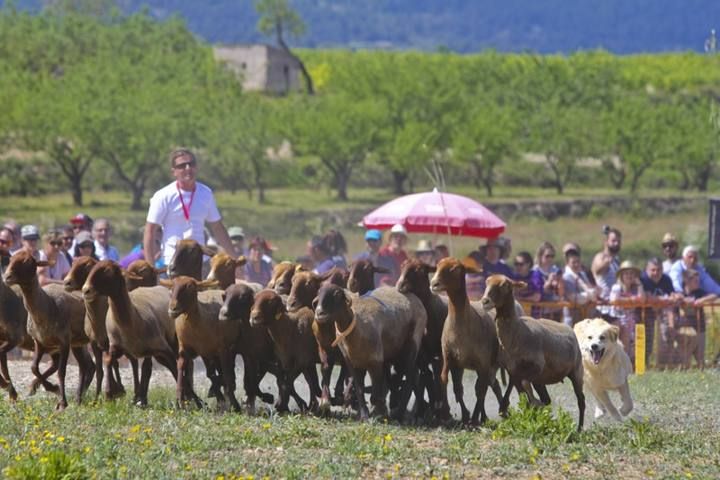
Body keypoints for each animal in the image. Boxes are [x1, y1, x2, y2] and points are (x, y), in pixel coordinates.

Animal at [3, 249, 95, 410]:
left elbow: (61, 372)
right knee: (85, 366)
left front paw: (62, 401)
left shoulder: (63, 342)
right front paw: (52, 389)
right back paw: (79, 398)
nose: (7, 277)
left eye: (28, 262)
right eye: (11, 259)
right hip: (77, 343)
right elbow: (34, 367)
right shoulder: (39, 342)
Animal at [80, 260, 177, 406]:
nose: (86, 290)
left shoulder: (164, 348)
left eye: (107, 270)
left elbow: (176, 369)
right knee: (146, 366)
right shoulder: (115, 346)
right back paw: (140, 399)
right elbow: (108, 361)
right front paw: (110, 392)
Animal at [169, 276, 242, 410]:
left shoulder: (223, 349)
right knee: (213, 373)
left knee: (227, 371)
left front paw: (235, 405)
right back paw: (219, 396)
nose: (172, 309)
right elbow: (181, 369)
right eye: (172, 286)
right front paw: (179, 402)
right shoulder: (186, 348)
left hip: (226, 349)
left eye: (190, 286)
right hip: (208, 352)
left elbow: (227, 375)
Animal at [312, 284, 424, 420]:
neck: (356, 328)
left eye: (337, 294)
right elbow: (359, 390)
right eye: (318, 293)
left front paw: (379, 411)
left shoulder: (376, 361)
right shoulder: (352, 363)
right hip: (395, 351)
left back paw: (400, 414)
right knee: (413, 374)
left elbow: (375, 394)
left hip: (412, 344)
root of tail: (415, 298)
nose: (319, 313)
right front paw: (364, 416)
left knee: (409, 378)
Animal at [478, 274, 584, 432]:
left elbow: (525, 385)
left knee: (581, 401)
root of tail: (569, 328)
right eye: (487, 282)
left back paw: (579, 429)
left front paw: (534, 403)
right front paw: (517, 411)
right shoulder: (513, 370)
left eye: (504, 285)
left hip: (576, 372)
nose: (485, 301)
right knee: (547, 398)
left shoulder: (536, 367)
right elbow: (520, 392)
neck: (517, 332)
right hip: (541, 379)